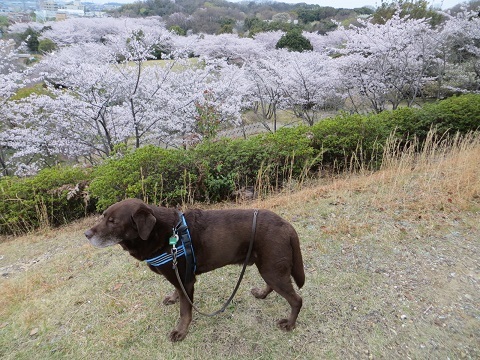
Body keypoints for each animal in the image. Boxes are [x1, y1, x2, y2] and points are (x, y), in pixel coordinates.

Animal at [83, 198, 304, 342]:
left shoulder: (187, 282)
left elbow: (185, 311)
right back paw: (262, 294)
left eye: (113, 222)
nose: (86, 234)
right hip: (268, 266)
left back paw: (290, 324)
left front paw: (180, 332)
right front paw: (172, 298)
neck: (163, 234)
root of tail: (287, 225)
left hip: (271, 267)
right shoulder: (177, 276)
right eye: (103, 216)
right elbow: (176, 292)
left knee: (297, 300)